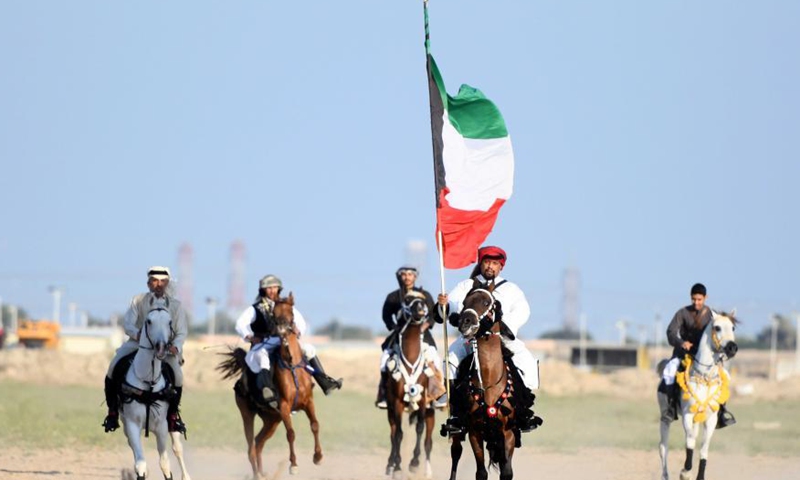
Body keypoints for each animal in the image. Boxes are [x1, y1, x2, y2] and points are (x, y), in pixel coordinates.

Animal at [121, 308, 191, 480]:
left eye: (170, 322)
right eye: (149, 321)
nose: (161, 347)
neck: (149, 383)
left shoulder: (161, 427)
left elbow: (165, 463)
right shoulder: (131, 425)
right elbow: (140, 464)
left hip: (173, 423)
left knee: (177, 449)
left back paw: (186, 476)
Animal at [217, 292, 324, 480]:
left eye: (291, 313)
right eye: (274, 315)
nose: (281, 332)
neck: (291, 365)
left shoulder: (308, 402)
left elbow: (315, 425)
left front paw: (317, 457)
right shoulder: (285, 407)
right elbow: (291, 434)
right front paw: (293, 465)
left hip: (271, 420)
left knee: (259, 442)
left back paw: (262, 473)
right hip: (248, 414)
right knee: (251, 448)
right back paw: (257, 475)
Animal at [382, 292, 444, 480]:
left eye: (424, 300)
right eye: (407, 300)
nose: (421, 308)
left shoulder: (423, 401)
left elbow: (419, 429)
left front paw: (414, 463)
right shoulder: (396, 403)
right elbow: (399, 434)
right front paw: (397, 466)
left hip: (430, 411)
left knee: (428, 441)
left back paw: (427, 470)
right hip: (390, 410)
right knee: (393, 433)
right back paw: (390, 465)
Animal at [450, 284, 520, 480]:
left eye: (487, 302)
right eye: (464, 302)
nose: (465, 322)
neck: (488, 380)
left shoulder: (508, 433)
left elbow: (506, 471)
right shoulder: (475, 431)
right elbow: (481, 472)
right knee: (455, 452)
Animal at [656, 310, 736, 480]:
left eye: (733, 328)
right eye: (717, 327)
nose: (732, 348)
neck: (704, 376)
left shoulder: (711, 419)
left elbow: (704, 448)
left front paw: (698, 475)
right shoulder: (687, 415)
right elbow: (690, 441)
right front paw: (685, 472)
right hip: (665, 418)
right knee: (663, 446)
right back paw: (666, 475)